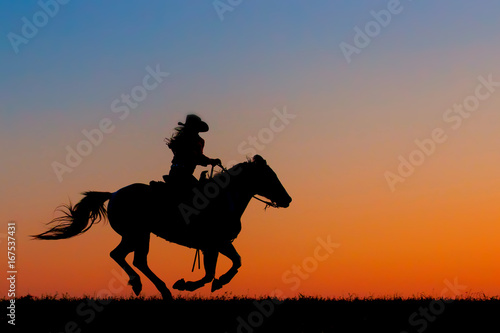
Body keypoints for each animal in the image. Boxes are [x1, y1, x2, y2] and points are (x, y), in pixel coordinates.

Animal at [33, 154, 292, 300]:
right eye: (269, 176)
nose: (287, 199)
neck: (223, 198)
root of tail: (114, 194)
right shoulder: (212, 244)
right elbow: (211, 272)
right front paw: (187, 285)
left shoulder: (220, 243)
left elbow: (235, 262)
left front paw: (217, 283)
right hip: (137, 234)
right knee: (129, 258)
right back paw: (156, 288)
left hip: (137, 235)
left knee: (128, 257)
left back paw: (148, 286)